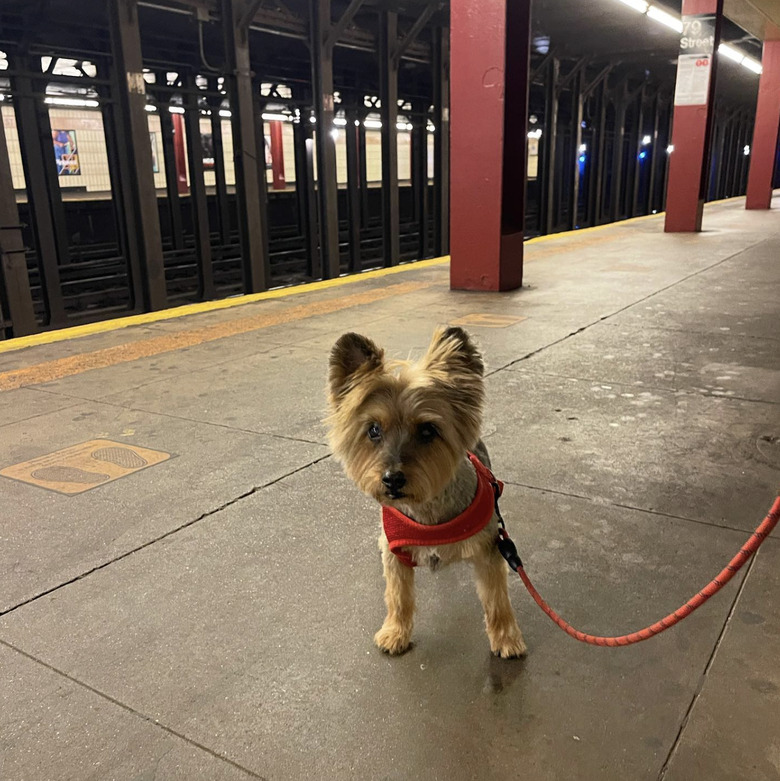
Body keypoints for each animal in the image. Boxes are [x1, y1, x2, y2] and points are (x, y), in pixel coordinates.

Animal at [326, 324, 528, 660]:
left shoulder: (490, 550)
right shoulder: (395, 555)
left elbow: (497, 599)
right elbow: (398, 597)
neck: (428, 511)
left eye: (427, 430)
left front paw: (506, 639)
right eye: (373, 430)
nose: (392, 479)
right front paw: (395, 633)